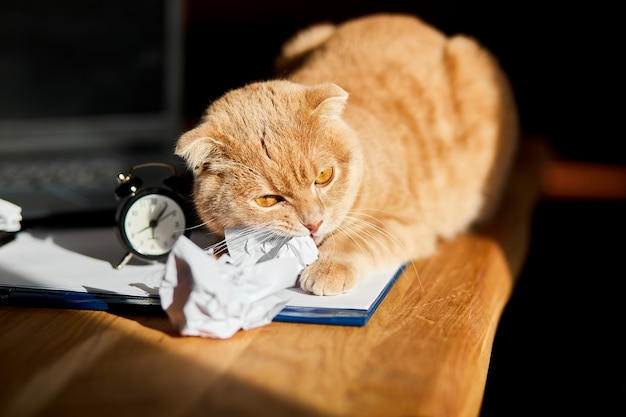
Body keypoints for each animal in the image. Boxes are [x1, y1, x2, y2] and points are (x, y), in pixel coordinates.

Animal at [176, 14, 516, 294]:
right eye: (268, 200)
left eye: (324, 176)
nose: (313, 224)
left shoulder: (404, 221)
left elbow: (355, 238)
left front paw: (328, 266)